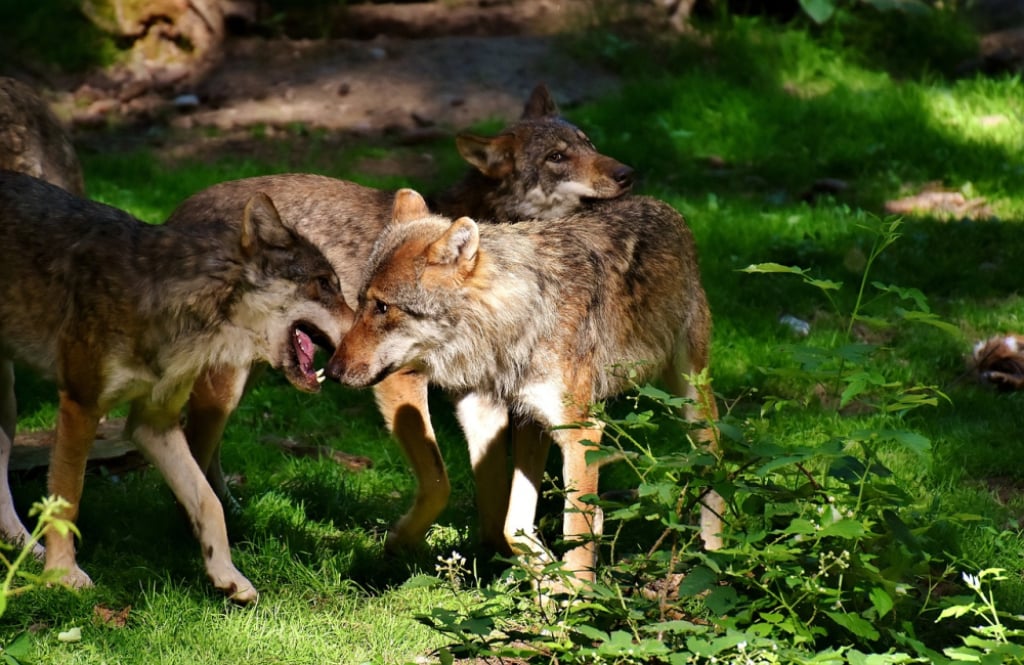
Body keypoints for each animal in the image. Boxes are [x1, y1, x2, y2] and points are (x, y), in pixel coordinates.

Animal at [0, 171, 352, 602]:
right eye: (324, 284)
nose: (370, 324)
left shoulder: (154, 423)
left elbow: (209, 501)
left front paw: (227, 575)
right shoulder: (81, 405)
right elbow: (68, 501)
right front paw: (64, 575)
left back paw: (28, 550)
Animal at [168, 85, 643, 557]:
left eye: (588, 144)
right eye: (556, 157)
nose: (626, 174)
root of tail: (173, 217)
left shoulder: (479, 395)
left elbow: (493, 491)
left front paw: (496, 557)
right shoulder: (399, 379)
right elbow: (439, 483)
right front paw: (399, 545)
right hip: (227, 385)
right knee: (192, 448)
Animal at [327, 188, 720, 582]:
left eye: (382, 307)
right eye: (359, 302)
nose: (332, 371)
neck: (514, 322)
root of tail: (663, 206)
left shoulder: (580, 432)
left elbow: (574, 533)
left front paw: (577, 594)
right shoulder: (496, 416)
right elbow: (510, 524)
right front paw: (547, 576)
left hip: (690, 400)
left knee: (715, 462)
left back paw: (718, 555)